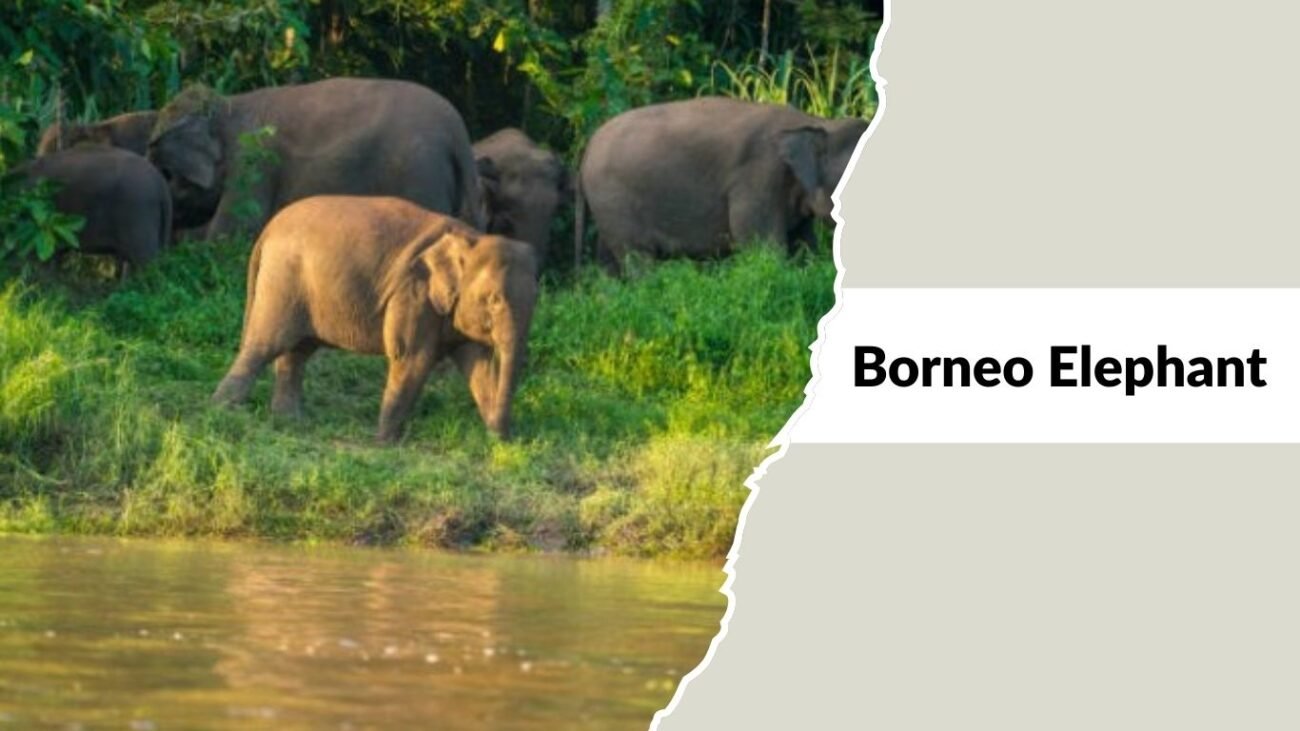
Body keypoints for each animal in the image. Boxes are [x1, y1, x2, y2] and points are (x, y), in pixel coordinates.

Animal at [146, 77, 484, 241]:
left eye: (167, 173)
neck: (228, 105)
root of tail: (457, 130)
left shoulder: (254, 161)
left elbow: (231, 231)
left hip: (419, 171)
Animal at [211, 195, 539, 443]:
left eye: (537, 301)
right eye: (494, 300)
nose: (509, 437)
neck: (472, 238)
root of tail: (268, 229)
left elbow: (478, 365)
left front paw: (496, 440)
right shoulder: (414, 294)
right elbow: (412, 357)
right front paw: (385, 442)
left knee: (298, 350)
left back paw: (290, 420)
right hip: (282, 282)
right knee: (265, 345)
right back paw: (225, 410)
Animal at [577, 97, 869, 272]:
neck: (817, 123)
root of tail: (586, 149)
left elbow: (803, 244)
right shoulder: (758, 178)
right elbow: (762, 245)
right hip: (616, 204)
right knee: (638, 260)